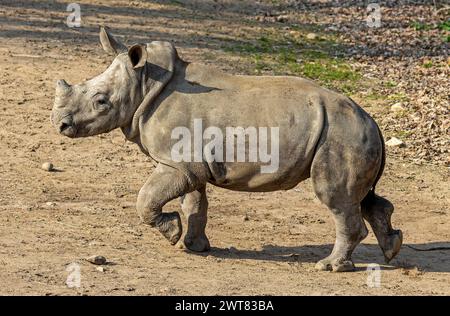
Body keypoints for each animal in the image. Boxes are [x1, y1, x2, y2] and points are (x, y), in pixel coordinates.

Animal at [51, 27, 402, 272]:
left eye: (101, 102)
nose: (60, 125)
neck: (146, 83)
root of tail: (373, 121)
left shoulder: (178, 163)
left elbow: (147, 199)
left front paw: (172, 233)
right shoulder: (188, 165)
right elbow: (195, 204)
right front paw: (192, 246)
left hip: (341, 134)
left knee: (337, 199)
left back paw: (330, 267)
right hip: (348, 132)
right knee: (361, 197)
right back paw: (392, 249)